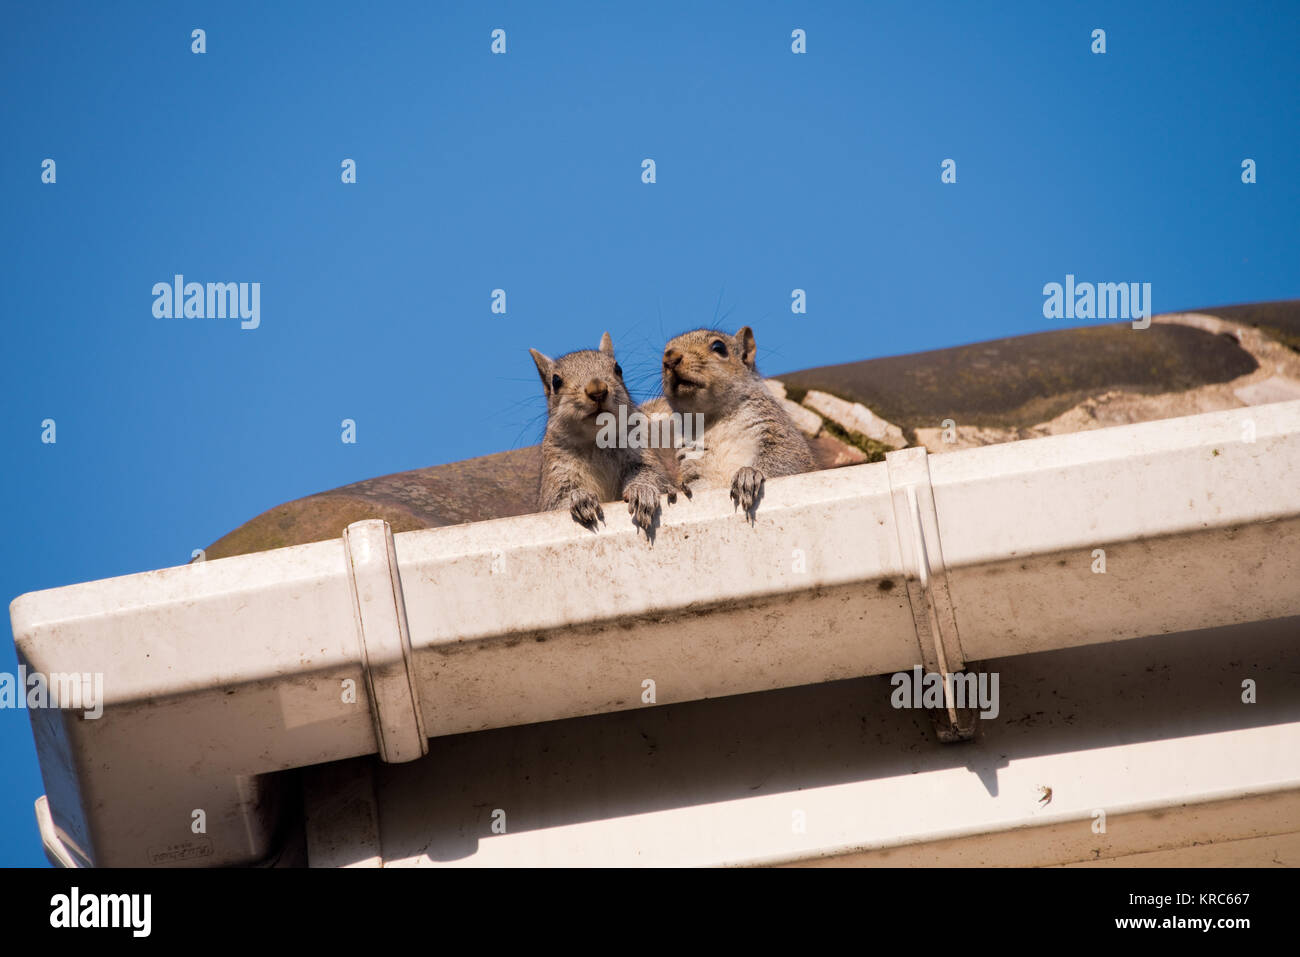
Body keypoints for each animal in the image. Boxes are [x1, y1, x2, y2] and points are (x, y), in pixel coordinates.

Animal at [530, 332, 677, 536]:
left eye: (618, 369)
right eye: (556, 381)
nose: (597, 389)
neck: (596, 442)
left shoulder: (640, 449)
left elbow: (652, 473)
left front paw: (642, 491)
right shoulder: (556, 473)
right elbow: (557, 502)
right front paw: (580, 498)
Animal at [660, 326, 814, 516]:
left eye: (719, 347)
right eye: (664, 353)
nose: (669, 358)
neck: (714, 416)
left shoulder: (776, 431)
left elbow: (787, 462)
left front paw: (748, 474)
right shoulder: (690, 454)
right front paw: (676, 488)